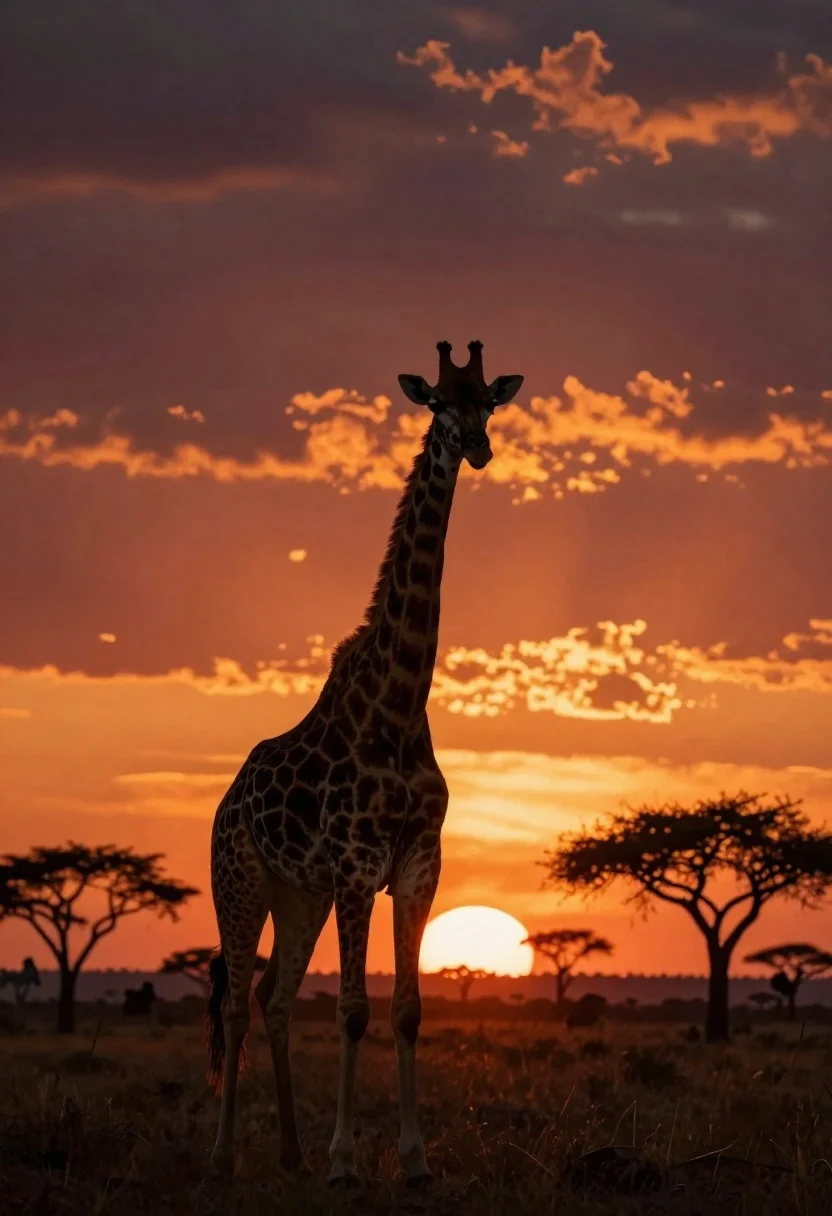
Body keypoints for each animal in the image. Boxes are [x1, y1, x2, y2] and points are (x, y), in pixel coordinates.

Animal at [206, 340, 524, 1184]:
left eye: (488, 402)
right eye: (436, 405)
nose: (475, 447)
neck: (401, 702)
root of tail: (225, 801)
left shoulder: (417, 862)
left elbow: (407, 1011)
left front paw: (413, 1160)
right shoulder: (356, 861)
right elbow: (351, 1011)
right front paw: (346, 1158)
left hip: (300, 893)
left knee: (273, 997)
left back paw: (288, 1154)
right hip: (240, 881)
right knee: (232, 1001)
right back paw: (225, 1155)